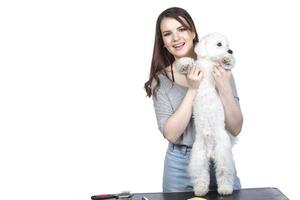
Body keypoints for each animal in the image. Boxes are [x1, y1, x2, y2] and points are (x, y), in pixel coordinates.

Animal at [176, 32, 237, 197]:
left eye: (228, 45)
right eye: (219, 44)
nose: (230, 51)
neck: (209, 62)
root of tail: (210, 152)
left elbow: (224, 65)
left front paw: (228, 60)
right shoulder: (198, 69)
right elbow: (190, 64)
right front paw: (183, 64)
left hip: (223, 155)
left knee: (224, 173)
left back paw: (225, 189)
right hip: (198, 158)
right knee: (201, 175)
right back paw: (200, 190)